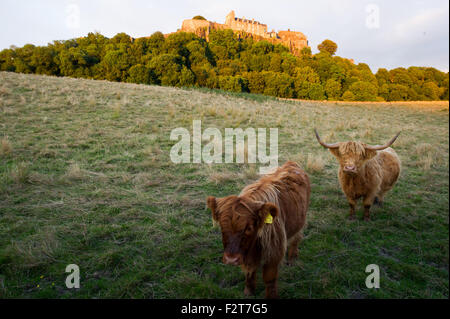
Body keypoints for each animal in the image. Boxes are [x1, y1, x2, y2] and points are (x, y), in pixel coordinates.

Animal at [207, 162, 310, 300]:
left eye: (249, 228)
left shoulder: (274, 253)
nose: (231, 259)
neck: (254, 245)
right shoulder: (246, 255)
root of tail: (291, 163)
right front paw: (248, 291)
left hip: (301, 219)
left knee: (296, 238)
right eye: (222, 226)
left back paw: (292, 258)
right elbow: (249, 272)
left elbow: (269, 279)